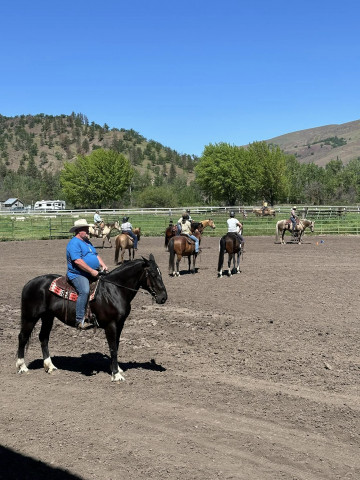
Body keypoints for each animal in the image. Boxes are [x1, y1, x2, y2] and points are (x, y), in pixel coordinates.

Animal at [16, 255, 168, 382]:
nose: (163, 298)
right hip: (30, 317)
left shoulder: (120, 324)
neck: (113, 290)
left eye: (160, 273)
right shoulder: (111, 325)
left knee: (43, 337)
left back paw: (50, 366)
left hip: (48, 317)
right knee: (23, 337)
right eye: (153, 274)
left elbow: (116, 346)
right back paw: (22, 367)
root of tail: (29, 283)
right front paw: (116, 375)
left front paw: (117, 369)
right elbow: (113, 347)